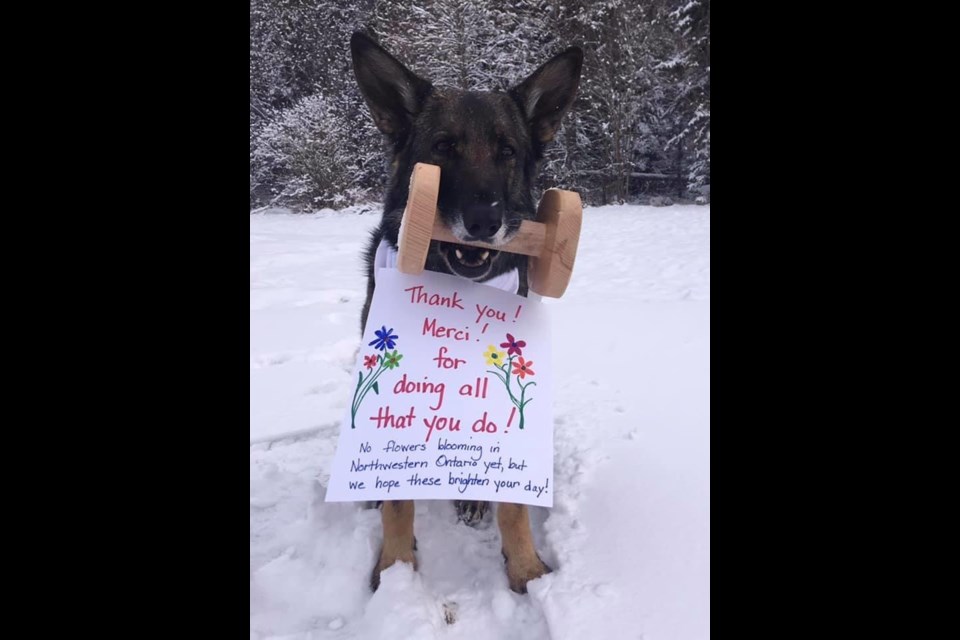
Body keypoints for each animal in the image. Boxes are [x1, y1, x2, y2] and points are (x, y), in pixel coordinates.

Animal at [348, 31, 580, 596]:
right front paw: (396, 574)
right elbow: (398, 503)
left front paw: (527, 571)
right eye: (443, 147)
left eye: (507, 152)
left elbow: (515, 506)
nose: (483, 221)